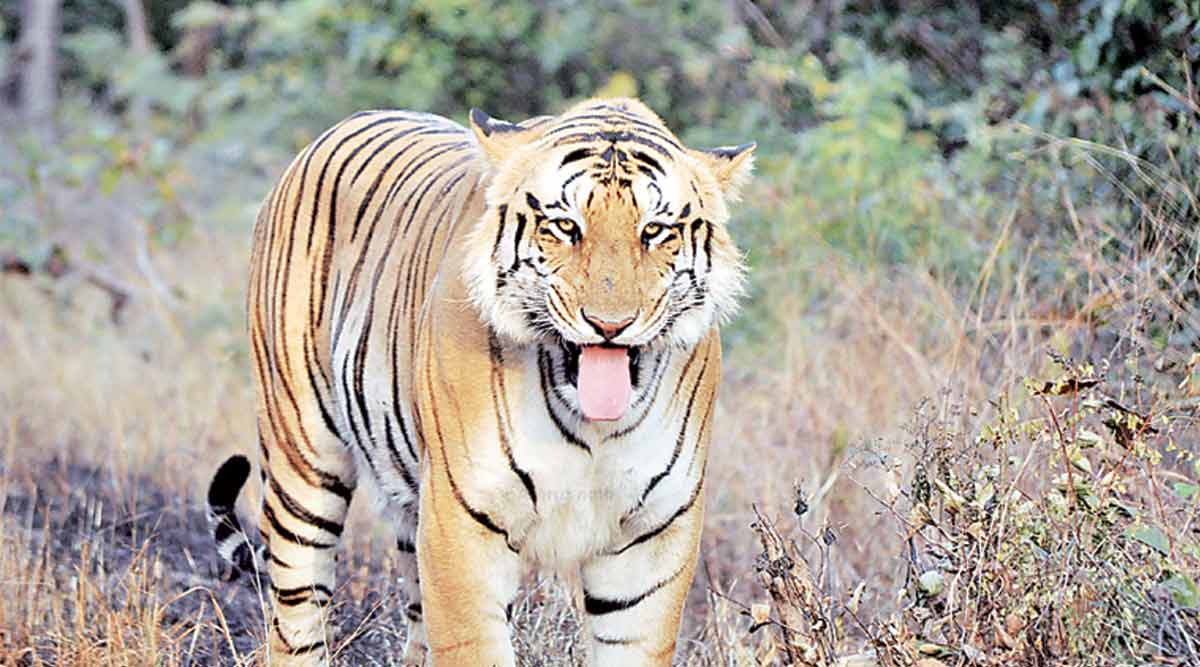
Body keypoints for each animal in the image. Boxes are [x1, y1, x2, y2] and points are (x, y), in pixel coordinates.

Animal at [206, 97, 754, 666]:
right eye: (565, 226)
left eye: (654, 231)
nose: (609, 324)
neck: (591, 425)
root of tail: (346, 122)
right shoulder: (461, 524)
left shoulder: (653, 537)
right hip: (302, 463)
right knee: (296, 615)